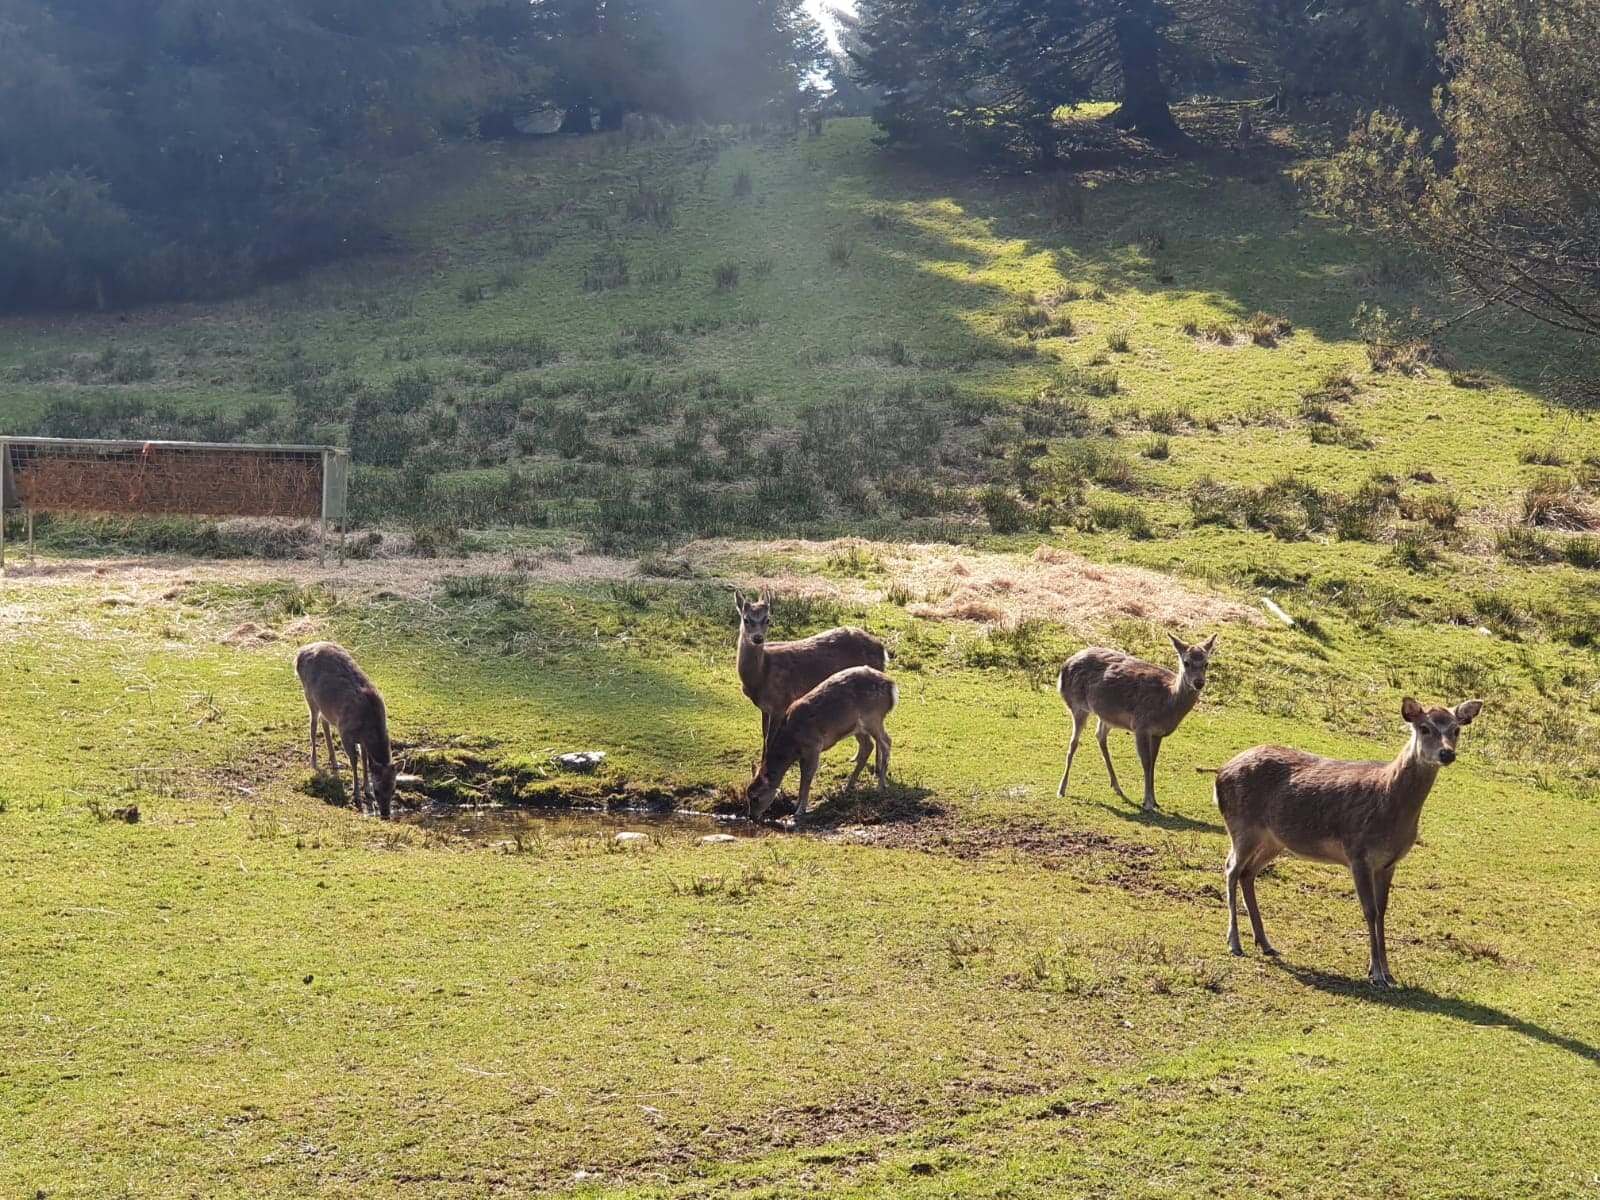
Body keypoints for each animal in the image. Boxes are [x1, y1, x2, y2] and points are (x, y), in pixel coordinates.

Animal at [294, 643, 396, 825]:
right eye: (378, 790)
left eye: (393, 789)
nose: (385, 814)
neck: (368, 724)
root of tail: (300, 652)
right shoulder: (345, 731)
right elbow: (354, 760)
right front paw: (357, 795)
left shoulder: (362, 740)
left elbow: (365, 760)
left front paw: (366, 790)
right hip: (309, 696)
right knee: (313, 726)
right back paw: (314, 761)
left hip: (325, 705)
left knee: (324, 722)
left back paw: (335, 763)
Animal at [732, 592, 889, 752]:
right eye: (746, 619)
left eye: (767, 619)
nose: (758, 638)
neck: (761, 675)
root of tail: (882, 651)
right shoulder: (764, 708)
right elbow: (764, 738)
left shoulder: (782, 702)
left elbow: (770, 740)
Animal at [742, 668, 896, 825]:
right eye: (746, 794)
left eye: (756, 797)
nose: (751, 817)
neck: (792, 742)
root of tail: (892, 686)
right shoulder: (804, 753)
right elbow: (803, 776)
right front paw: (797, 805)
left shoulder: (813, 746)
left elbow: (807, 776)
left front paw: (800, 810)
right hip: (856, 727)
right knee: (868, 745)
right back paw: (849, 786)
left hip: (873, 717)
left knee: (886, 741)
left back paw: (880, 785)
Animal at [1056, 633, 1216, 812]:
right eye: (1186, 662)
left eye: (1206, 663)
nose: (1199, 683)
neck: (1168, 701)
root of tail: (1064, 666)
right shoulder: (1141, 725)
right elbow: (1146, 762)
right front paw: (1147, 803)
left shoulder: (1158, 733)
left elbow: (1153, 763)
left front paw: (1155, 801)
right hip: (1077, 705)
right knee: (1074, 742)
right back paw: (1062, 789)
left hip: (1107, 715)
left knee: (1099, 735)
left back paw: (1117, 786)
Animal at [1209, 700, 1484, 992]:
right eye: (1424, 728)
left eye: (1456, 729)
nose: (1447, 753)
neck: (1389, 806)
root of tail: (1220, 773)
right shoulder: (1358, 854)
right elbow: (1369, 910)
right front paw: (1376, 973)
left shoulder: (1389, 863)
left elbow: (1382, 911)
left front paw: (1388, 972)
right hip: (1242, 825)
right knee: (1231, 868)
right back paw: (1235, 943)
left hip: (1274, 840)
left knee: (1247, 873)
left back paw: (1265, 943)